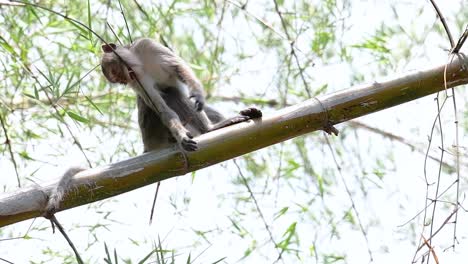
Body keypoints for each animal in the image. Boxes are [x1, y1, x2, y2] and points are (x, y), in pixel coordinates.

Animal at [100, 38, 262, 152]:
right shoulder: (138, 82)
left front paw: (197, 93)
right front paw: (180, 135)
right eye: (120, 81)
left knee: (173, 92)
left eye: (117, 73)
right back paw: (208, 129)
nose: (124, 81)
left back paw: (211, 127)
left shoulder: (147, 45)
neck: (139, 63)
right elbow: (161, 107)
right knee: (169, 94)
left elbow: (179, 68)